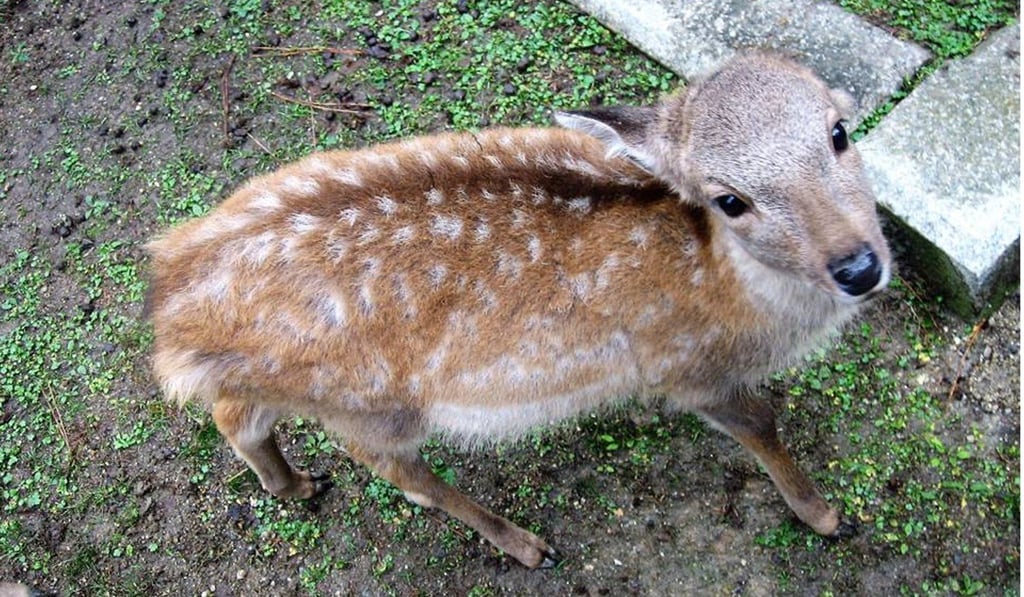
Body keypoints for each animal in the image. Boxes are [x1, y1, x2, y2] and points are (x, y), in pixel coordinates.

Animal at [145, 52, 891, 569]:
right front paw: (827, 516)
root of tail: (171, 307)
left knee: (233, 412)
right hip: (369, 403)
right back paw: (526, 544)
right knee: (402, 474)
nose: (859, 266)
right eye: (729, 199)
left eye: (839, 131)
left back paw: (293, 484)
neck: (731, 291)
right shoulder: (690, 364)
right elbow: (763, 423)